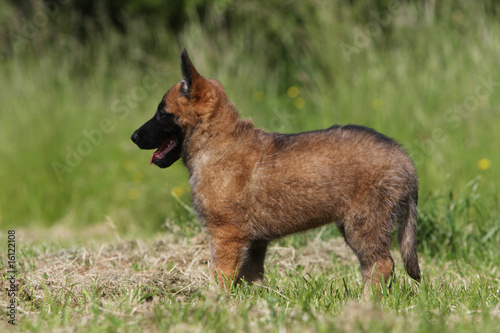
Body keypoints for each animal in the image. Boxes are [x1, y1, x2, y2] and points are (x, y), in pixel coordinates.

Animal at [131, 50, 420, 298]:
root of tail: (403, 157)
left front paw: (214, 303)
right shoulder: (254, 242)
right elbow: (250, 277)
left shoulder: (226, 234)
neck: (216, 140)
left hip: (363, 224)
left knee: (381, 264)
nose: (133, 137)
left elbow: (221, 276)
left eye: (162, 113)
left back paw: (365, 303)